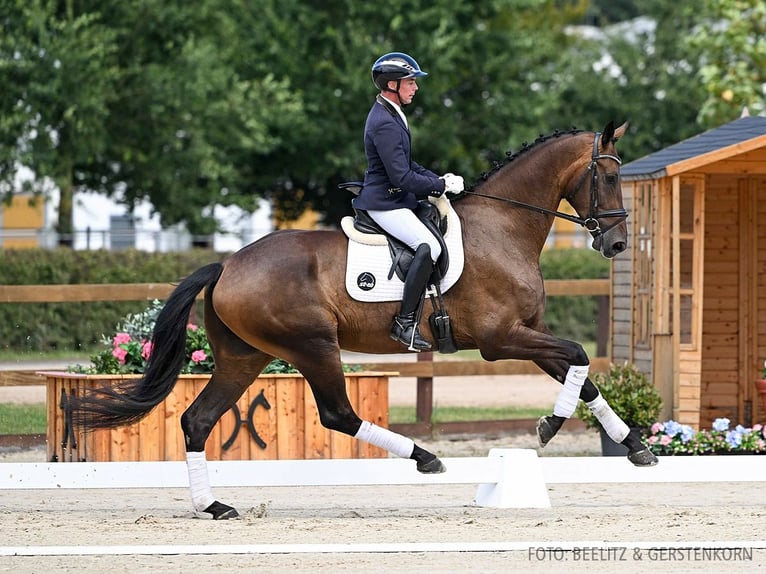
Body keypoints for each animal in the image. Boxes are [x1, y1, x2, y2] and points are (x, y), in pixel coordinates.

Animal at [70, 121, 660, 520]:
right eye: (609, 175)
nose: (617, 244)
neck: (504, 226)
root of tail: (227, 265)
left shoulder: (526, 335)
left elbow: (581, 375)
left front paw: (634, 446)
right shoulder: (502, 339)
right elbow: (579, 357)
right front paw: (551, 426)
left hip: (245, 355)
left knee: (197, 420)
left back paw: (213, 506)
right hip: (313, 346)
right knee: (337, 414)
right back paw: (425, 457)